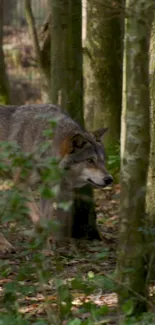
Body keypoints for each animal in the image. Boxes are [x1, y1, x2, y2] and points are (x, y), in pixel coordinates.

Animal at [0, 103, 112, 251]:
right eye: (90, 161)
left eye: (102, 161)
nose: (109, 179)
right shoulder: (21, 184)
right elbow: (39, 218)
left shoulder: (48, 189)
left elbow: (45, 219)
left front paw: (44, 249)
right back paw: (4, 245)